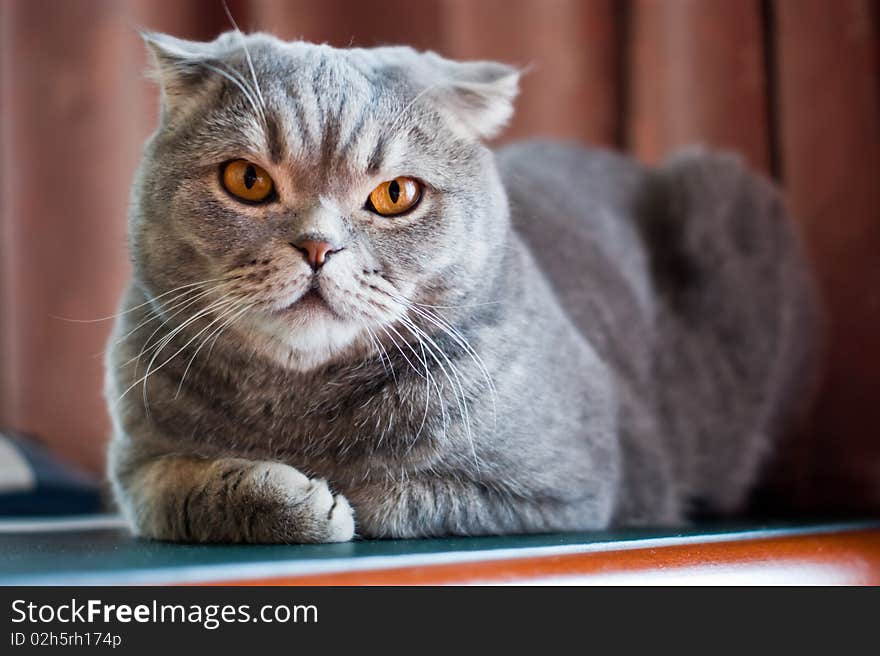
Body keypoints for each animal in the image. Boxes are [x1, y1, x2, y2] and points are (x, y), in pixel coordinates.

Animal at [106, 32, 820, 544]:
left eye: (395, 194)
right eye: (247, 181)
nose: (317, 246)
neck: (293, 404)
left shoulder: (567, 488)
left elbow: (393, 492)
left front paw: (330, 491)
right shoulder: (137, 462)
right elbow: (181, 489)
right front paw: (282, 497)